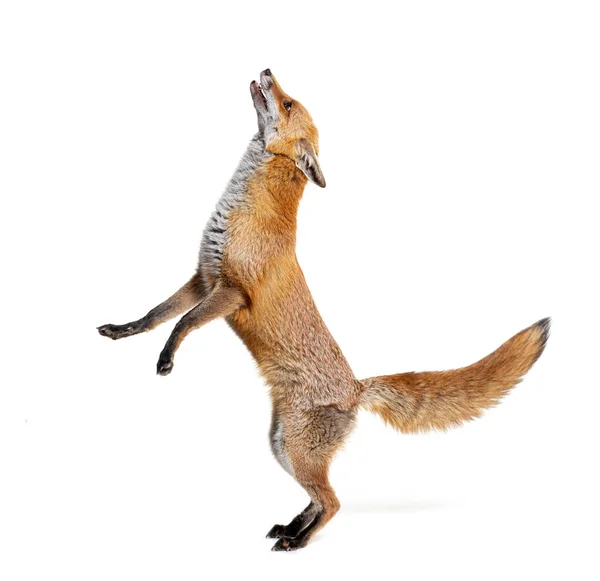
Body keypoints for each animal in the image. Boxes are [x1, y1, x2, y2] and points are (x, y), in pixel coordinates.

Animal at [97, 68, 548, 548]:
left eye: (288, 103)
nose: (267, 70)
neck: (246, 211)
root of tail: (356, 388)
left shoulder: (232, 292)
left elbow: (182, 323)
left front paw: (166, 360)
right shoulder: (203, 278)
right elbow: (154, 315)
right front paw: (121, 331)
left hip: (294, 447)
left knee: (334, 502)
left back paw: (298, 542)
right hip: (281, 445)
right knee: (319, 498)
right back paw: (292, 528)